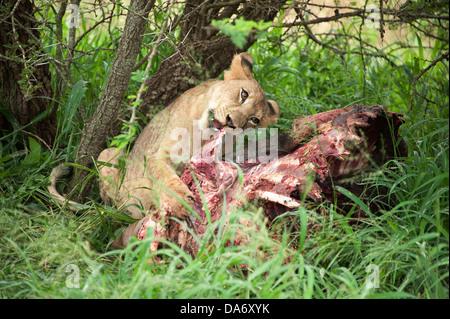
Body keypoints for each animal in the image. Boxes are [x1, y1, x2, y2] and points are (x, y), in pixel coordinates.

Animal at [51, 52, 280, 224]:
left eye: (254, 120)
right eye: (243, 94)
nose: (232, 123)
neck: (201, 135)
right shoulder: (158, 155)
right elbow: (165, 178)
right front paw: (181, 202)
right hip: (109, 154)